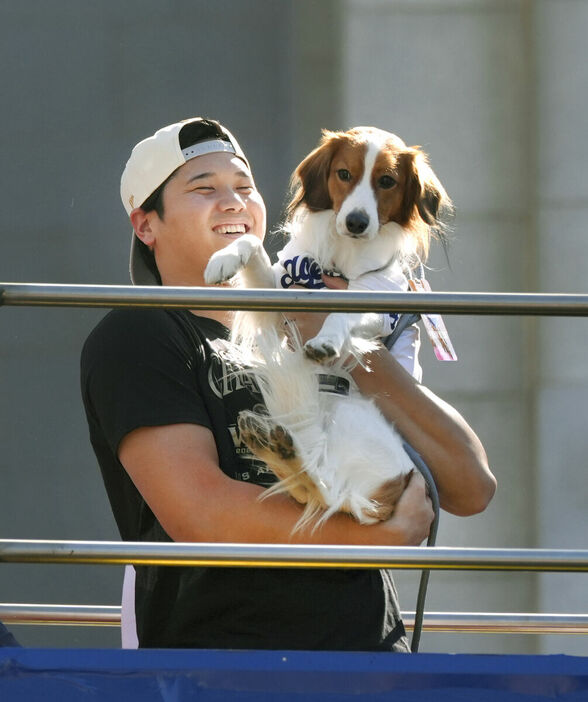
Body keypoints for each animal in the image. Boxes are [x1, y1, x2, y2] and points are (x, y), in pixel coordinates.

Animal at [204, 126, 448, 532]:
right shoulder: (279, 298)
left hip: (353, 421)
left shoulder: (376, 302)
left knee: (327, 491)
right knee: (314, 490)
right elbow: (251, 242)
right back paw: (273, 445)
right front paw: (224, 257)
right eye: (344, 174)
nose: (356, 222)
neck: (342, 260)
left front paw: (327, 341)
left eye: (387, 181)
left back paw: (282, 450)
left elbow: (341, 313)